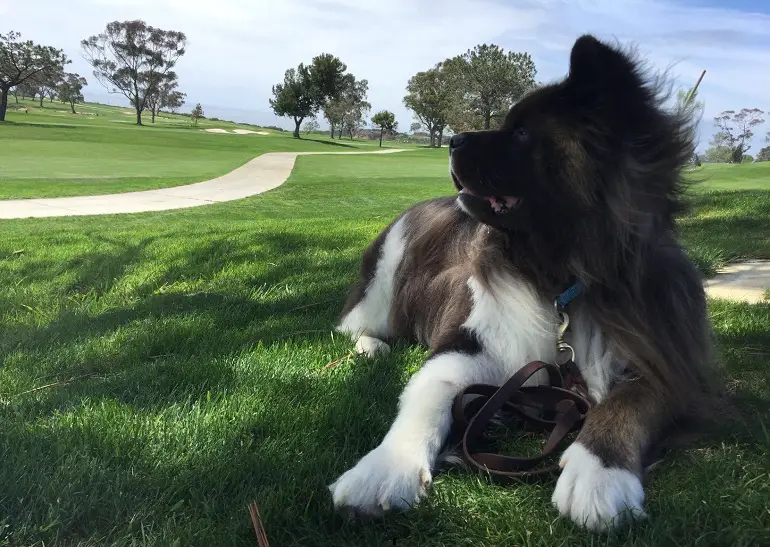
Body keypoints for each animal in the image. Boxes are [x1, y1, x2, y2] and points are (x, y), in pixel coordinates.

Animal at [328, 33, 716, 532]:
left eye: (521, 134)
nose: (452, 139)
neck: (560, 274)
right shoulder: (469, 343)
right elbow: (425, 395)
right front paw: (383, 469)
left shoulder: (663, 354)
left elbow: (631, 402)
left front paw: (599, 472)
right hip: (382, 282)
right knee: (354, 326)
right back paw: (372, 347)